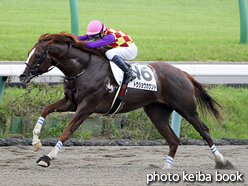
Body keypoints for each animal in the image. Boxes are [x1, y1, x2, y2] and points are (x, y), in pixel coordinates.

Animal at [19, 32, 232, 169]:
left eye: (37, 55)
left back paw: (222, 161)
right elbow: (45, 110)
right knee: (174, 140)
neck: (84, 68)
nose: (22, 76)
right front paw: (36, 142)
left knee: (204, 131)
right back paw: (166, 167)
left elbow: (67, 132)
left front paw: (47, 157)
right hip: (156, 112)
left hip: (186, 108)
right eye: (28, 53)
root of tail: (182, 72)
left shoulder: (86, 107)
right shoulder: (71, 102)